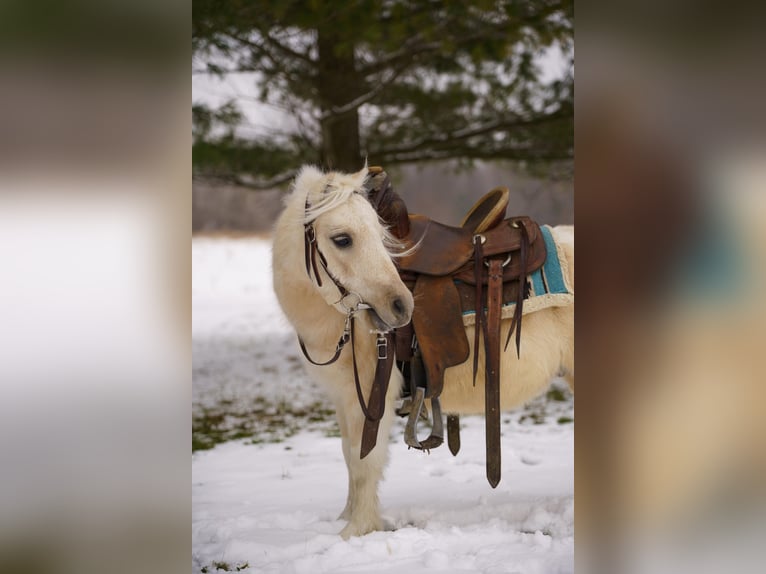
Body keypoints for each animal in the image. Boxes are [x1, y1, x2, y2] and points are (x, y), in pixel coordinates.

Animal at [272, 165, 574, 539]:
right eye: (342, 239)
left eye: (381, 235)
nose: (401, 306)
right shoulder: (344, 397)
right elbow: (349, 456)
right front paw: (348, 518)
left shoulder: (371, 394)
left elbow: (364, 459)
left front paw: (357, 530)